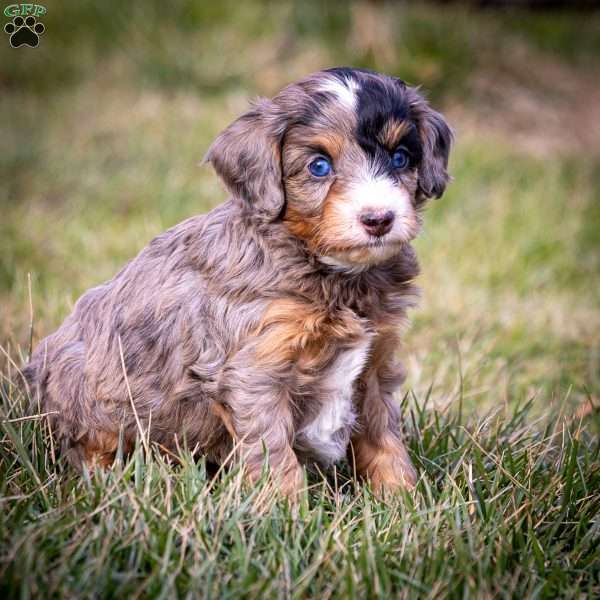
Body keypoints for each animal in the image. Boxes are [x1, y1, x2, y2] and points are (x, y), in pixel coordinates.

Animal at [23, 67, 450, 496]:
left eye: (400, 158)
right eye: (319, 166)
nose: (379, 219)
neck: (333, 274)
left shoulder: (376, 365)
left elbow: (384, 440)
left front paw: (401, 498)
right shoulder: (254, 373)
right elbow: (275, 454)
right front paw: (287, 508)